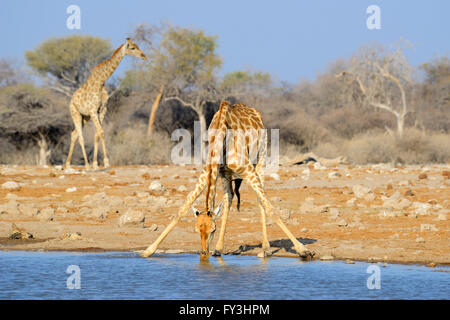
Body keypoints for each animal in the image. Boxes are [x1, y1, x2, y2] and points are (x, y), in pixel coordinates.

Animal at [66, 38, 146, 170]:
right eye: (132, 48)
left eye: (137, 45)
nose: (143, 56)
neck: (101, 81)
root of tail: (71, 100)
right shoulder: (93, 111)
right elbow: (101, 132)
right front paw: (105, 163)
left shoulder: (102, 110)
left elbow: (97, 134)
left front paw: (96, 164)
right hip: (75, 113)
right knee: (80, 137)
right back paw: (86, 165)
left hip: (85, 117)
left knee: (74, 134)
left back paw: (67, 164)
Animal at [142, 101, 314, 262]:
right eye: (197, 230)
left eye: (213, 229)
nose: (203, 255)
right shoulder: (208, 172)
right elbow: (182, 209)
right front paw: (148, 251)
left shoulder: (248, 170)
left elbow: (269, 207)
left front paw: (303, 250)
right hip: (226, 174)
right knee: (229, 198)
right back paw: (218, 249)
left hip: (260, 159)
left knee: (260, 199)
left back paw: (266, 249)